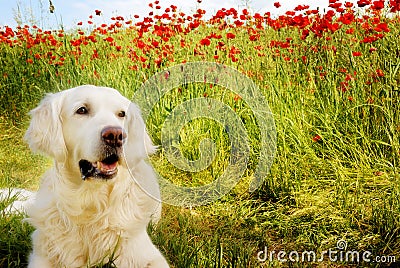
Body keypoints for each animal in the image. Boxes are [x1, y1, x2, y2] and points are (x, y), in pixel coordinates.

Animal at [7, 86, 168, 268]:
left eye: (122, 114)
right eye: (82, 110)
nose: (115, 135)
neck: (91, 200)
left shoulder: (146, 255)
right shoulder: (43, 253)